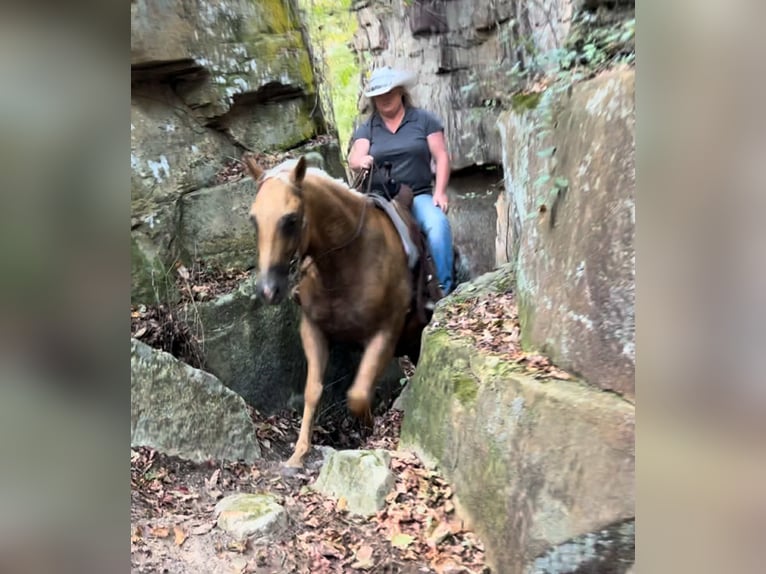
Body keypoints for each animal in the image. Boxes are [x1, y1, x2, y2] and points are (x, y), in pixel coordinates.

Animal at [244, 154, 429, 468]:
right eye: (254, 219)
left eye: (290, 220)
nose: (268, 290)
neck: (347, 262)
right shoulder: (313, 329)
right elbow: (313, 390)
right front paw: (298, 453)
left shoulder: (385, 332)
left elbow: (358, 394)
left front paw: (369, 428)